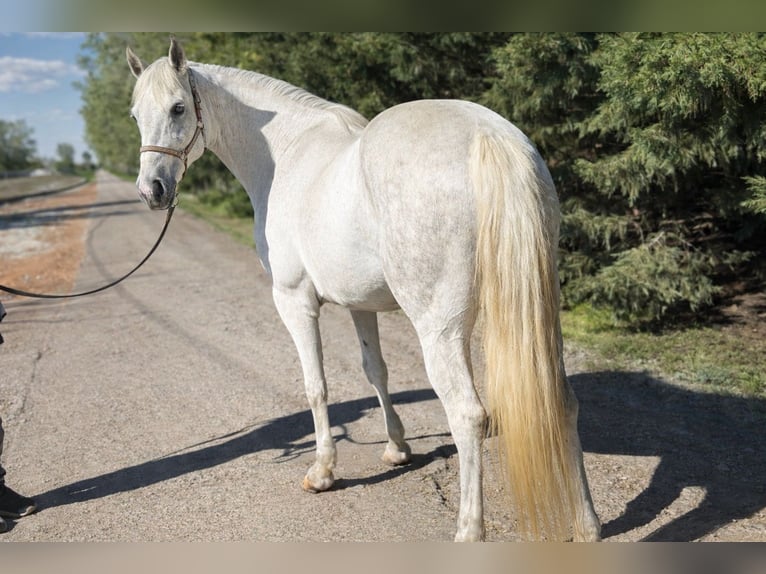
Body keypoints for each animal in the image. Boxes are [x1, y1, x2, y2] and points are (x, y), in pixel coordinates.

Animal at [125, 38, 601, 542]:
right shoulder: (360, 304)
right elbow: (376, 371)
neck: (286, 152)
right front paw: (397, 449)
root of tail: (489, 136)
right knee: (564, 403)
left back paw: (469, 530)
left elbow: (316, 386)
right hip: (541, 312)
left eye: (178, 107)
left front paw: (322, 472)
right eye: (135, 115)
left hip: (441, 328)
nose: (153, 190)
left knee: (468, 415)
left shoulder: (294, 301)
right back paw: (587, 524)